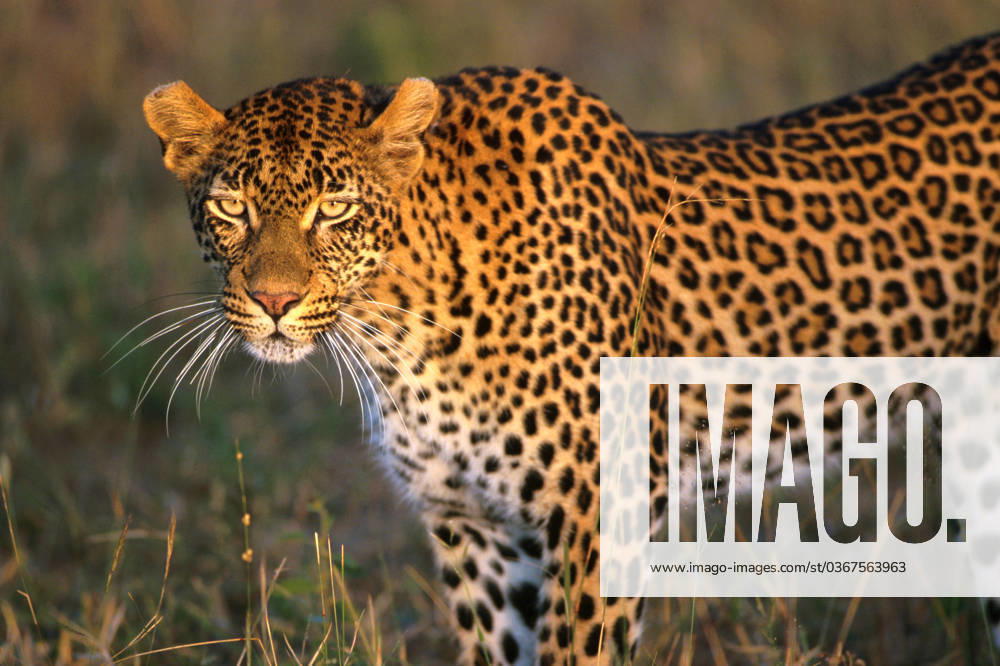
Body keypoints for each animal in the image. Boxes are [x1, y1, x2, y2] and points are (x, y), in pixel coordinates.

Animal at [141, 31, 1000, 664]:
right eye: (230, 207)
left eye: (336, 209)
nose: (273, 302)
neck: (404, 333)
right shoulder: (476, 532)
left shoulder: (599, 512)